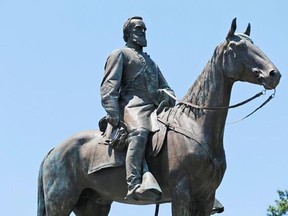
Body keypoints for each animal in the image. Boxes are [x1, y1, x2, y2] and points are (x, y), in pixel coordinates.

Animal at [37, 19, 280, 216]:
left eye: (253, 43)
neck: (195, 125)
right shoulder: (182, 194)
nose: (273, 74)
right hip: (61, 202)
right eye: (239, 47)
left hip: (94, 204)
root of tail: (53, 151)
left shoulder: (205, 197)